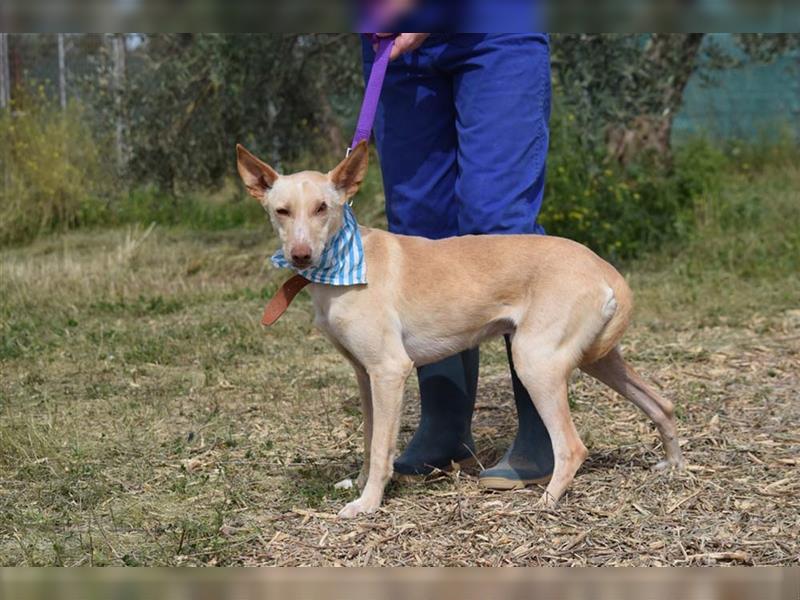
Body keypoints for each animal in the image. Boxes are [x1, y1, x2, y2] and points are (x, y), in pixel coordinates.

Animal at [234, 139, 684, 516]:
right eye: (282, 211)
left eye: (322, 208)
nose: (300, 255)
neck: (343, 266)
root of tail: (602, 266)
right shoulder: (365, 375)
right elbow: (368, 438)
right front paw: (359, 485)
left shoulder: (389, 371)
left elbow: (381, 448)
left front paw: (368, 504)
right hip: (596, 358)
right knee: (662, 403)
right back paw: (672, 465)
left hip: (534, 361)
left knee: (572, 446)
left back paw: (546, 501)